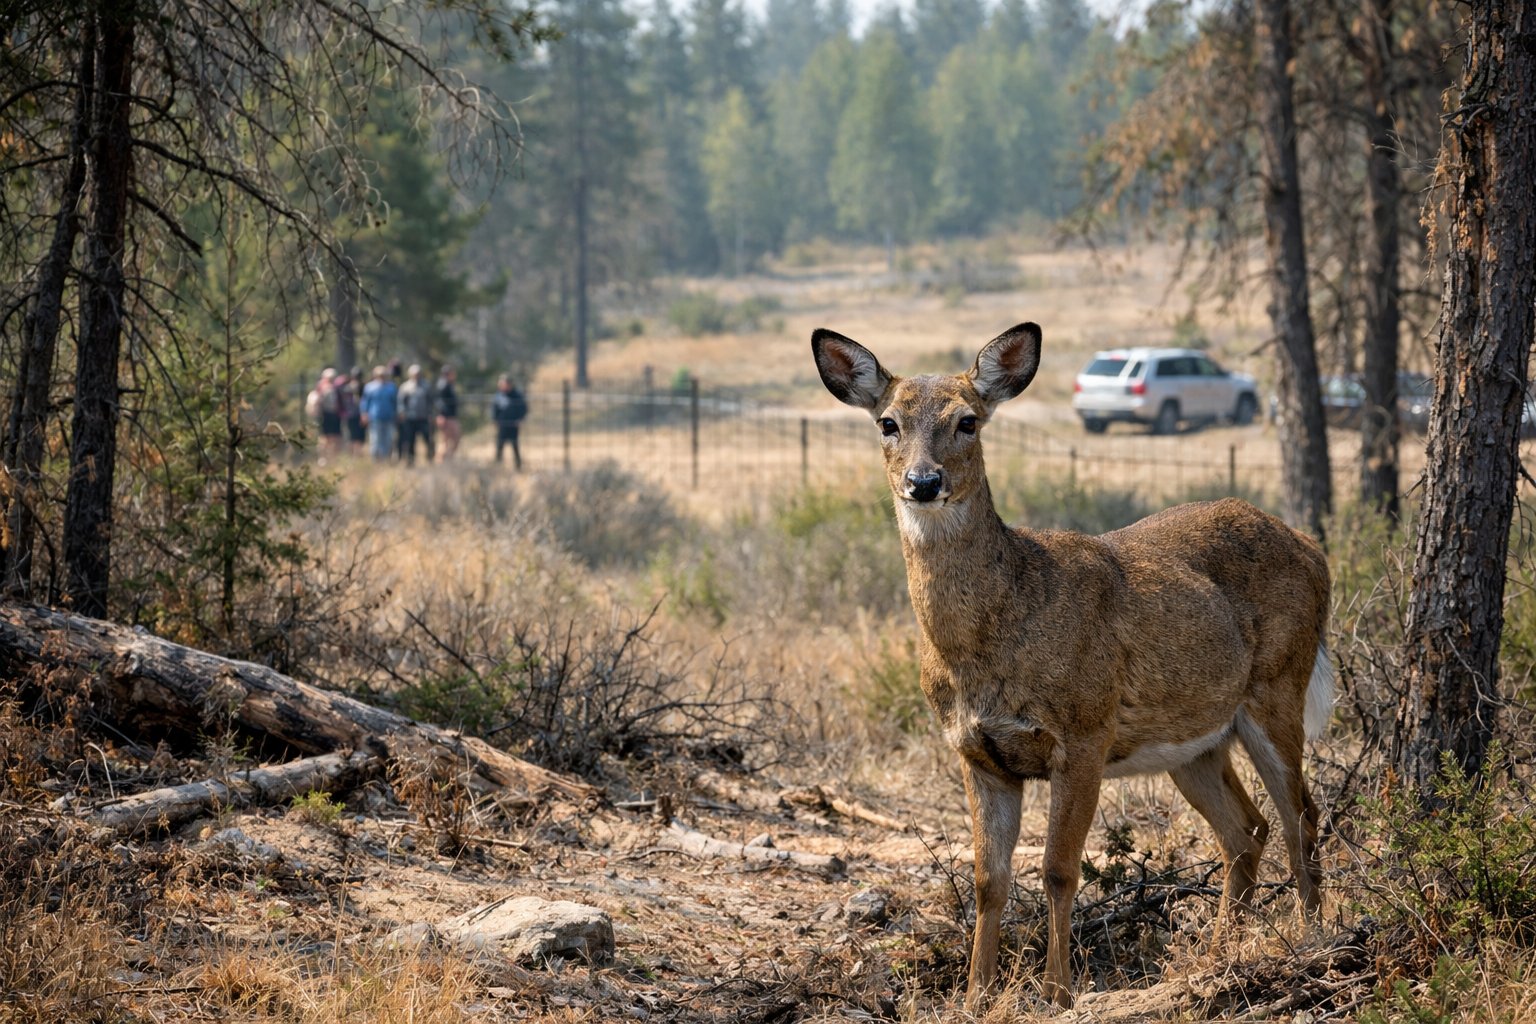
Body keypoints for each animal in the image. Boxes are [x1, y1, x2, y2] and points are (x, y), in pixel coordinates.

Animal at [812, 322, 1332, 1009]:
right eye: (888, 423)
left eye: (968, 421)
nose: (923, 482)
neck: (992, 638)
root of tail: (1313, 549)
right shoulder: (977, 753)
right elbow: (989, 879)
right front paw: (976, 995)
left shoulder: (1085, 732)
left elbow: (1059, 870)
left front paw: (1058, 992)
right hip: (1194, 743)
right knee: (1247, 830)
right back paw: (1220, 955)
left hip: (1277, 687)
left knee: (1302, 814)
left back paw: (1311, 939)